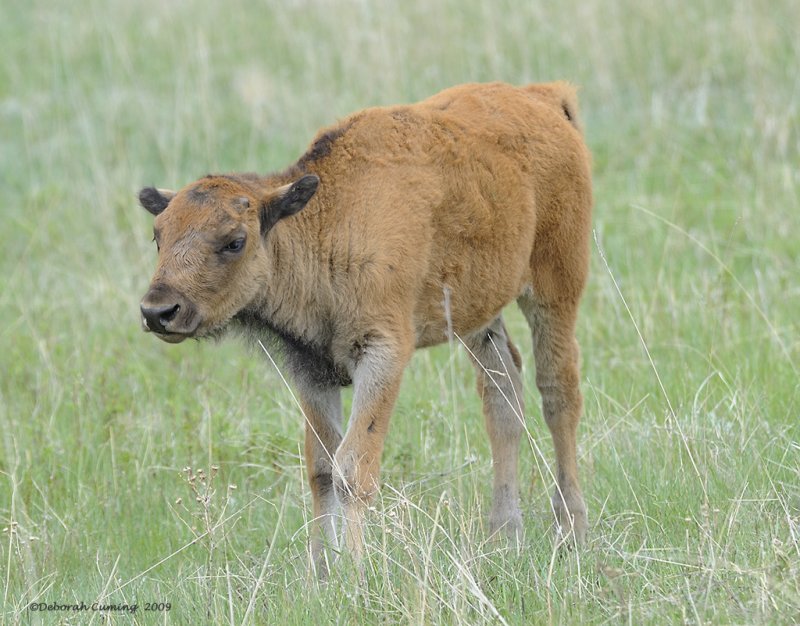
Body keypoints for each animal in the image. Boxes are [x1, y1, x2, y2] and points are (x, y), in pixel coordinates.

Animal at [138, 80, 592, 572]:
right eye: (158, 236)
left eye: (234, 241)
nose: (158, 311)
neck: (324, 221)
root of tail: (542, 97)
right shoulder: (310, 369)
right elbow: (321, 468)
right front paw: (320, 570)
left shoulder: (382, 356)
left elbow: (353, 468)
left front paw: (356, 570)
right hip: (479, 314)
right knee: (503, 394)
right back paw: (504, 535)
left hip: (555, 288)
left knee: (558, 394)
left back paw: (571, 531)